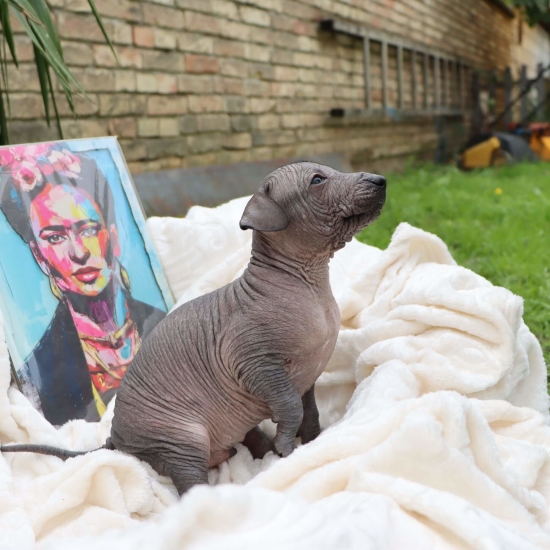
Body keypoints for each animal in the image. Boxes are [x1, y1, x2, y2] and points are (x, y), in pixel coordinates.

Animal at [1, 162, 388, 498]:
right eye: (318, 180)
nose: (381, 179)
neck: (310, 283)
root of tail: (116, 443)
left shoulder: (307, 374)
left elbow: (309, 412)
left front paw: (312, 443)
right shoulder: (254, 365)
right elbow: (291, 406)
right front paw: (286, 446)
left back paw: (260, 451)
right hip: (182, 436)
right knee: (189, 486)